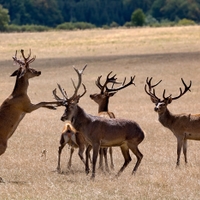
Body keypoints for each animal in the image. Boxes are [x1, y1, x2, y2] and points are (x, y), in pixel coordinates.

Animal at [0, 49, 60, 182]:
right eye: (29, 68)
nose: (39, 71)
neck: (20, 94)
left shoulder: (28, 106)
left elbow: (42, 103)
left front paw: (53, 106)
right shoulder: (27, 107)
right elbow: (42, 101)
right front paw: (58, 103)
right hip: (2, 145)